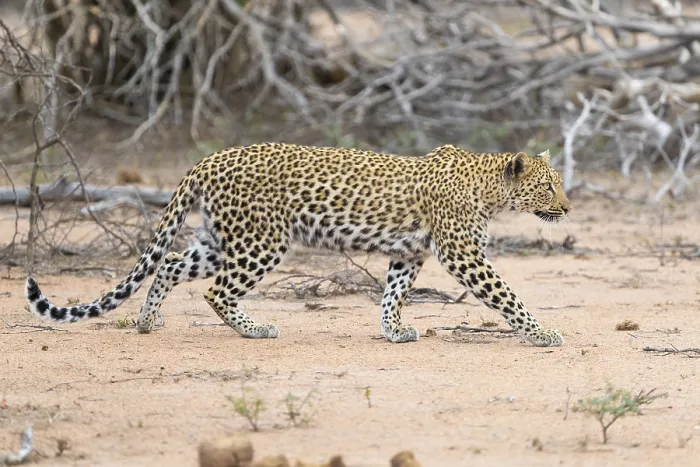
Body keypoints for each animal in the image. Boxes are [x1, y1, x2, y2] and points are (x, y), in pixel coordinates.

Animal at [25, 142, 571, 347]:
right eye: (548, 186)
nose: (566, 209)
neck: (491, 189)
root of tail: (208, 159)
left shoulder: (408, 253)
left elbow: (392, 294)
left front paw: (394, 331)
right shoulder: (462, 255)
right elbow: (507, 295)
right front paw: (542, 333)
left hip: (220, 239)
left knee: (171, 264)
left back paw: (146, 321)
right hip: (260, 242)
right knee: (215, 291)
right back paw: (255, 329)